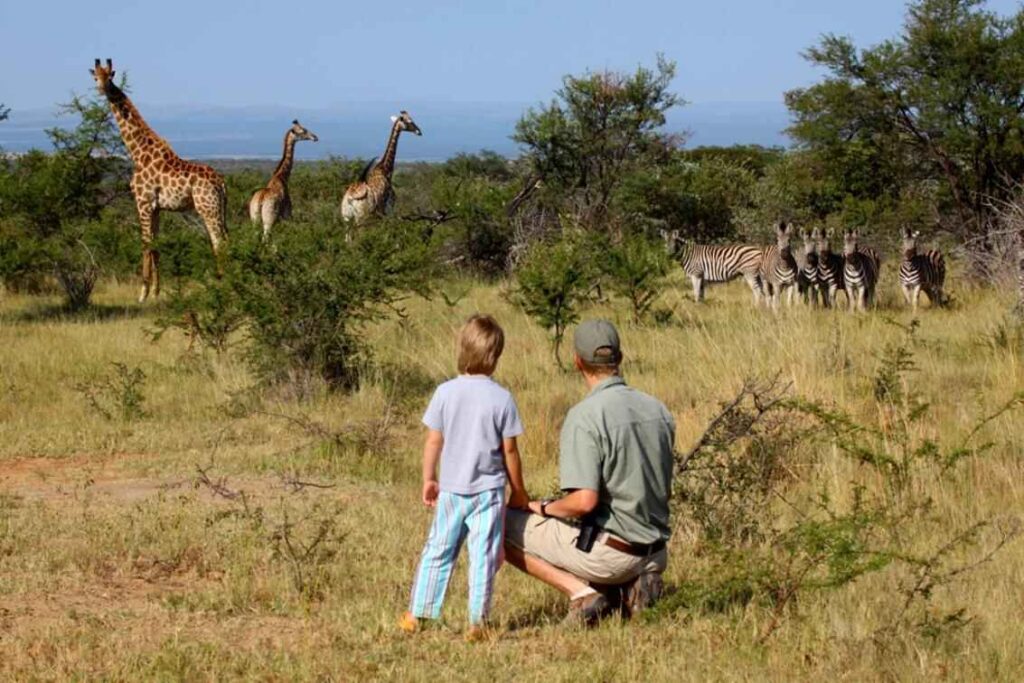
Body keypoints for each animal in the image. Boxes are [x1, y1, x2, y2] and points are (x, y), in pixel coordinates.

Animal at [89, 59, 228, 302]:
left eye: (109, 76)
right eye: (95, 76)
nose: (102, 89)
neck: (137, 151)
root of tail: (220, 183)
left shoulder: (143, 202)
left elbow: (145, 243)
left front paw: (142, 294)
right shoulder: (156, 208)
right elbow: (156, 244)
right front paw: (155, 292)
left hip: (207, 208)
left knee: (218, 241)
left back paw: (222, 284)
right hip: (218, 208)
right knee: (225, 240)